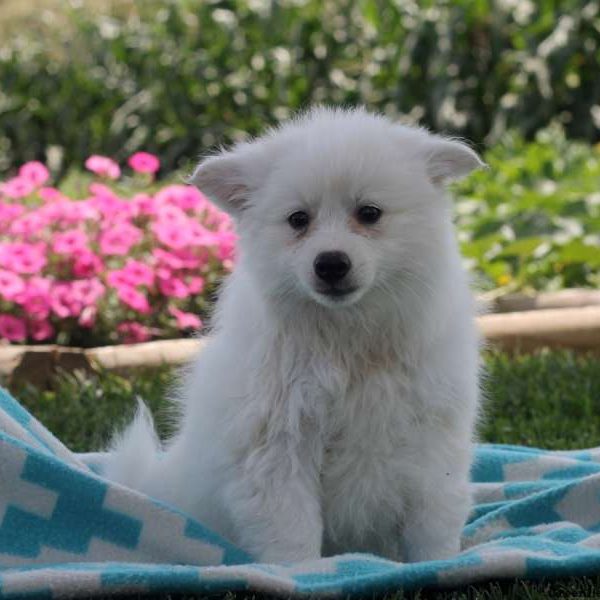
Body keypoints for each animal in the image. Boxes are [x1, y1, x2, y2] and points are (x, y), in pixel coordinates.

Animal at [105, 106, 486, 564]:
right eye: (298, 220)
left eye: (369, 213)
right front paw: (303, 571)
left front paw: (439, 563)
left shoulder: (433, 441)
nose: (331, 264)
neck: (348, 341)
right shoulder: (276, 448)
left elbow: (433, 521)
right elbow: (291, 532)